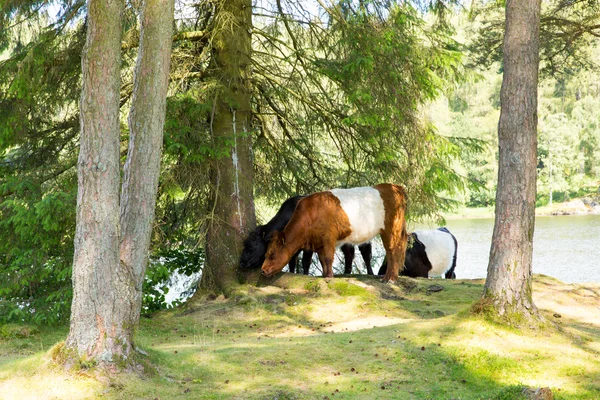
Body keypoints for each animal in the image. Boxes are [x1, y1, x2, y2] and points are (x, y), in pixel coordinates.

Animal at [238, 195, 372, 276]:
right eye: (245, 243)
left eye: (251, 245)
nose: (241, 263)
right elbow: (292, 261)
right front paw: (292, 273)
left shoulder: (308, 245)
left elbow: (305, 261)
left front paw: (305, 274)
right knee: (349, 253)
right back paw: (346, 273)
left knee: (366, 254)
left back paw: (370, 273)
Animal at [262, 183, 408, 282]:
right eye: (266, 253)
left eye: (272, 254)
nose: (263, 270)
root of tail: (393, 186)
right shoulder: (319, 243)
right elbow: (322, 260)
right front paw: (325, 275)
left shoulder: (328, 237)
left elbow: (328, 258)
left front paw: (330, 277)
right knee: (391, 252)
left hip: (391, 229)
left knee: (393, 251)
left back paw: (390, 279)